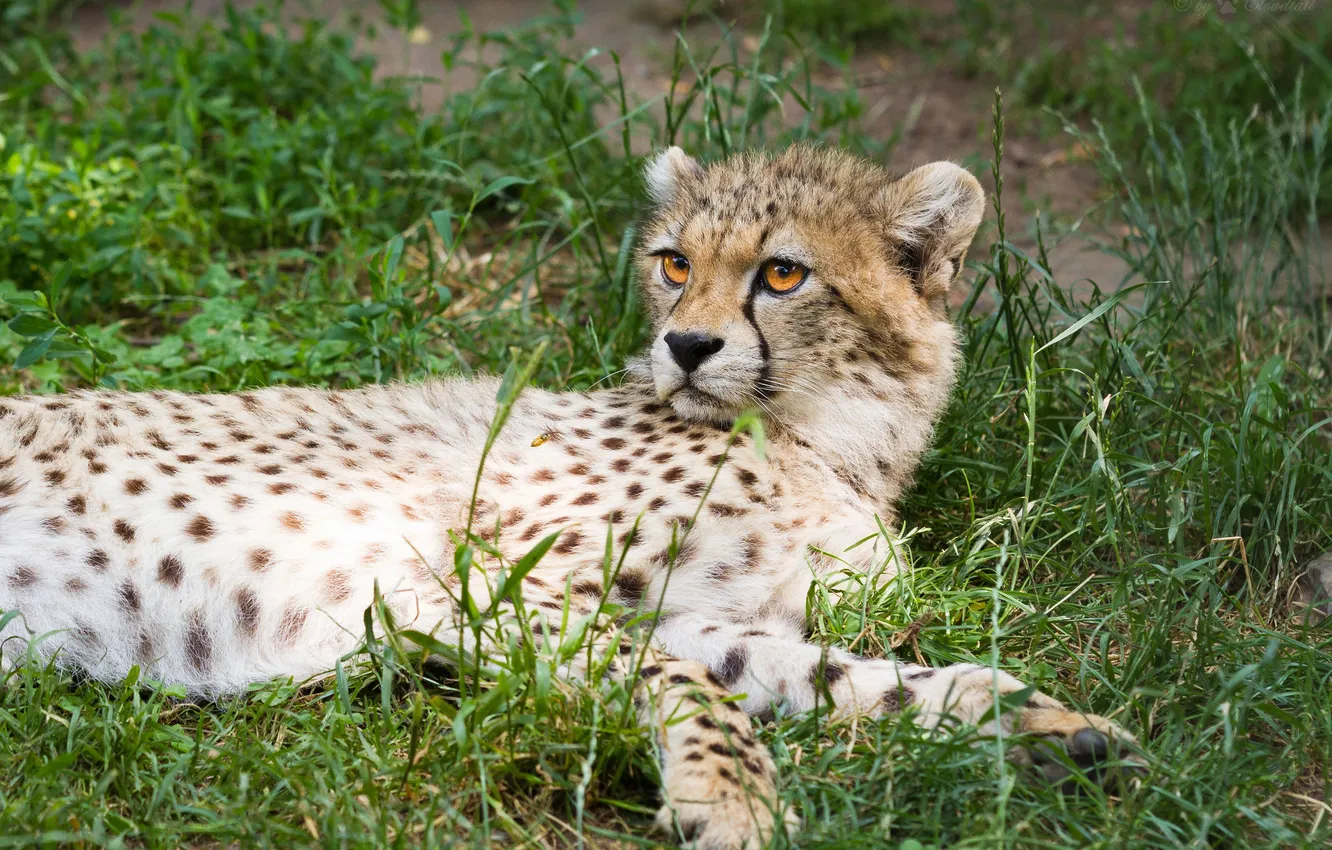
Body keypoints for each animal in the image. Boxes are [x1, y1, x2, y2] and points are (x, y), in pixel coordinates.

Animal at [0, 145, 1141, 849]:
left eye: (782, 275)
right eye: (674, 262)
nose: (687, 345)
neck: (826, 441)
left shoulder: (695, 614)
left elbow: (835, 673)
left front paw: (1046, 724)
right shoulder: (483, 585)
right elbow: (699, 691)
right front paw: (733, 798)